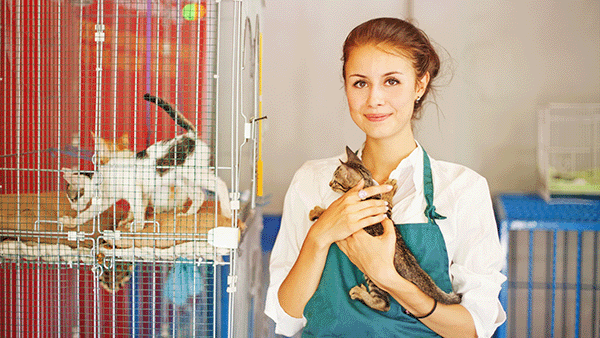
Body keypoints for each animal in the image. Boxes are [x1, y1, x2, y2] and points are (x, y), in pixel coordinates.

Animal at [59, 92, 231, 231]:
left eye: (73, 198)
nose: (72, 207)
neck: (104, 178)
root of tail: (190, 136)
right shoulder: (108, 200)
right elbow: (87, 214)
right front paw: (71, 222)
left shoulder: (134, 190)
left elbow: (137, 209)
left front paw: (137, 226)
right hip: (181, 179)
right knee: (199, 195)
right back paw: (188, 214)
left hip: (194, 173)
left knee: (220, 184)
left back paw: (227, 211)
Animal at [310, 147, 460, 312]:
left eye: (336, 181)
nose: (329, 184)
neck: (367, 190)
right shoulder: (384, 212)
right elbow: (387, 203)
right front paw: (389, 189)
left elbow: (328, 213)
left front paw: (317, 211)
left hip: (373, 275)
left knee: (384, 304)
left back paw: (361, 294)